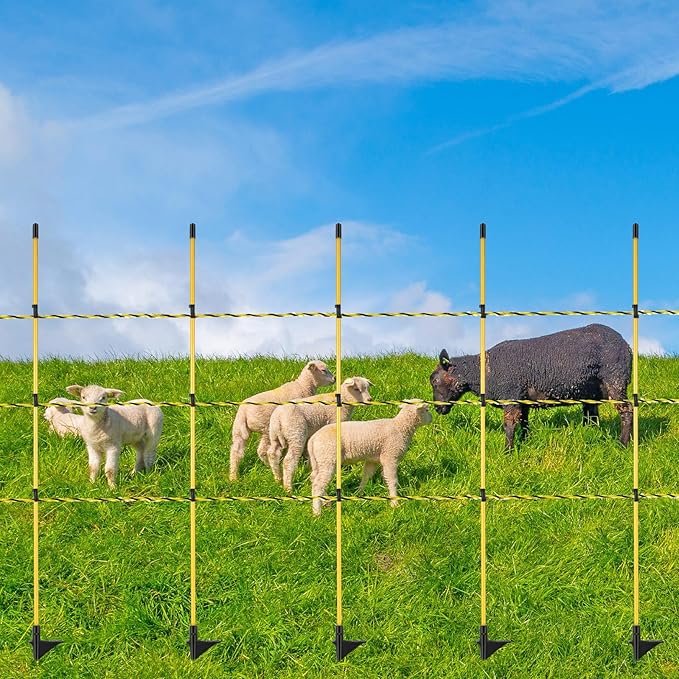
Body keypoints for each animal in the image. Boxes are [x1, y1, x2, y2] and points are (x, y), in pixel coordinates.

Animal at [430, 323, 632, 448]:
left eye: (434, 381)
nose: (438, 409)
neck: (482, 371)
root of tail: (625, 345)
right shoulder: (522, 398)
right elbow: (524, 423)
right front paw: (524, 442)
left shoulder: (510, 394)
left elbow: (509, 425)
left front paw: (508, 452)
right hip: (594, 390)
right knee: (592, 415)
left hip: (615, 378)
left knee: (627, 410)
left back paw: (623, 444)